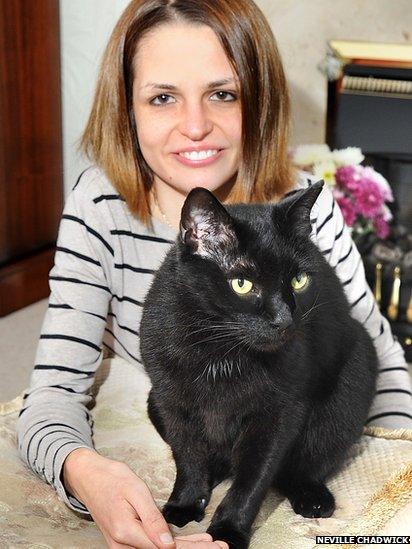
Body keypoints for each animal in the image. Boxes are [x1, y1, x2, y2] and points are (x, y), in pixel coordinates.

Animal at [140, 182, 378, 544]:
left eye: (298, 281)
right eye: (242, 284)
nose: (284, 320)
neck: (223, 352)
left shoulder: (279, 413)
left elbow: (254, 478)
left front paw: (228, 530)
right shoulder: (172, 403)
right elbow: (188, 456)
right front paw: (185, 503)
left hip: (353, 377)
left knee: (302, 465)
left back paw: (311, 496)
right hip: (153, 401)